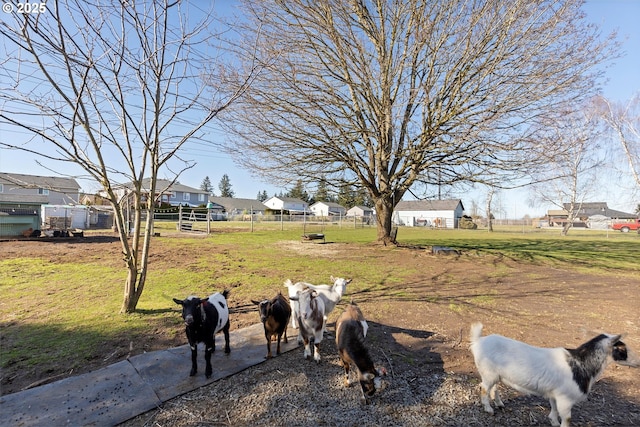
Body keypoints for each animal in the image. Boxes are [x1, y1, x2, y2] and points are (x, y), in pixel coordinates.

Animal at [468, 322, 636, 426]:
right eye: (622, 349)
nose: (637, 361)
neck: (580, 364)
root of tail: (478, 341)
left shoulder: (555, 394)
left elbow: (553, 409)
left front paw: (553, 421)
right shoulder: (565, 399)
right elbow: (567, 420)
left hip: (495, 374)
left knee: (493, 387)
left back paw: (499, 404)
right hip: (488, 372)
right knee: (483, 387)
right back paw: (488, 409)